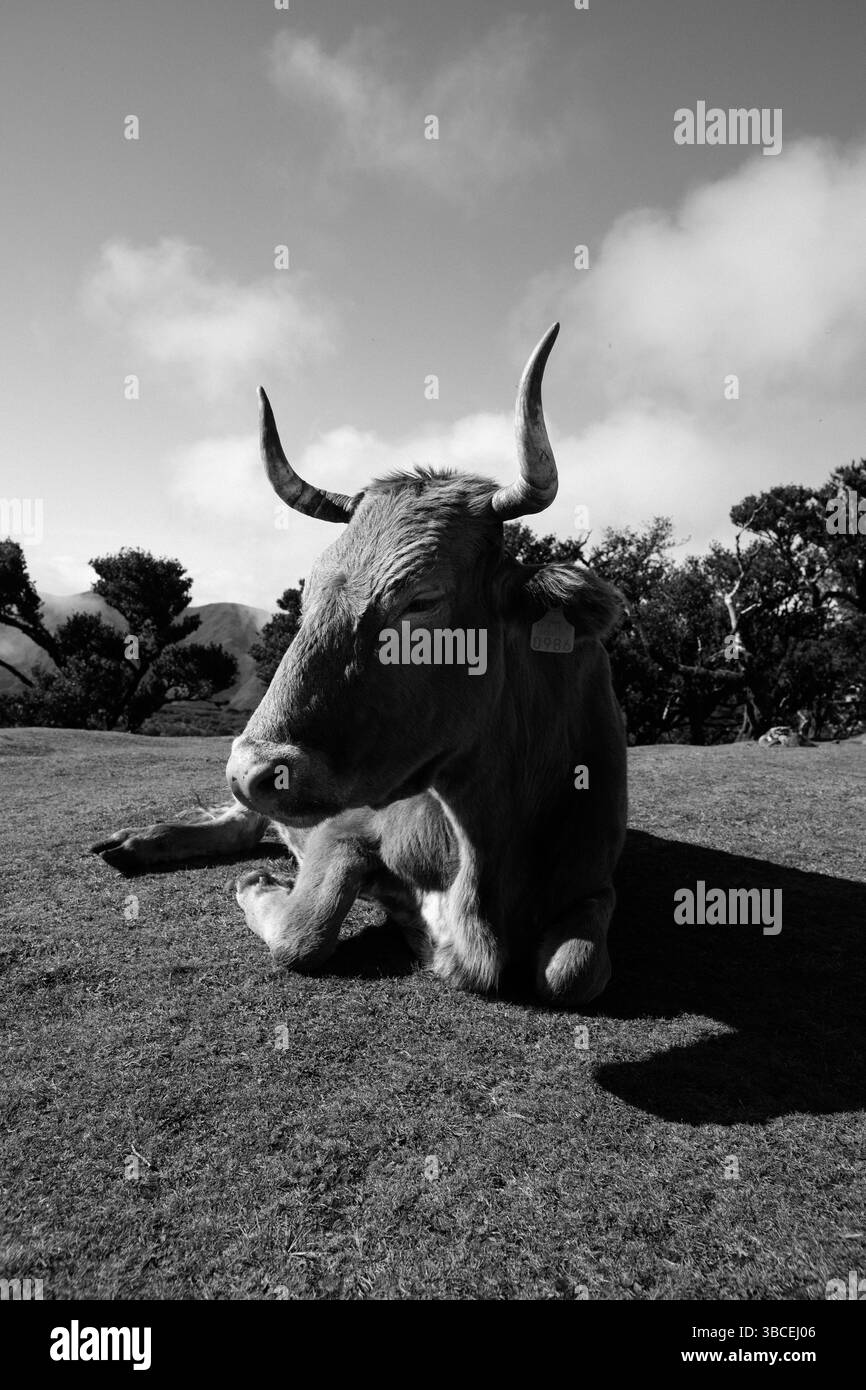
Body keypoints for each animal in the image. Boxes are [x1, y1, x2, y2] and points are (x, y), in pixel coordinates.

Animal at [93, 324, 628, 1003]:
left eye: (422, 599)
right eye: (311, 588)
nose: (252, 770)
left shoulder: (596, 880)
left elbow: (571, 971)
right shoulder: (344, 829)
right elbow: (306, 930)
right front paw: (258, 886)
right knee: (240, 825)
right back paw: (138, 842)